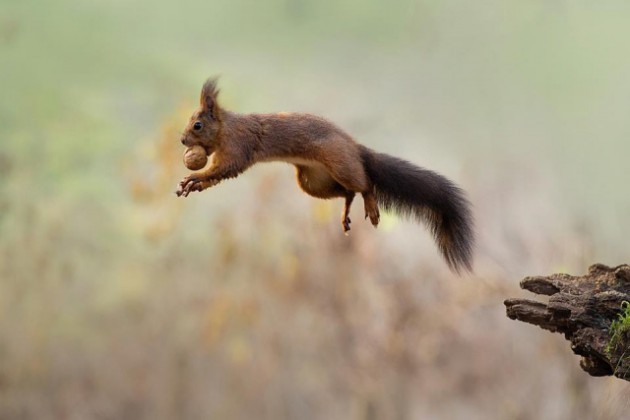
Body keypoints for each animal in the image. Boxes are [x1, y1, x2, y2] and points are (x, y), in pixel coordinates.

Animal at [177, 78, 474, 272]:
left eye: (197, 125)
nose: (182, 140)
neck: (226, 128)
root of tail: (354, 147)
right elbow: (216, 176)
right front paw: (195, 184)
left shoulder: (238, 147)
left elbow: (225, 168)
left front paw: (194, 178)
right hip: (313, 182)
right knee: (348, 192)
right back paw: (346, 212)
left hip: (340, 164)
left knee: (364, 183)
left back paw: (371, 205)